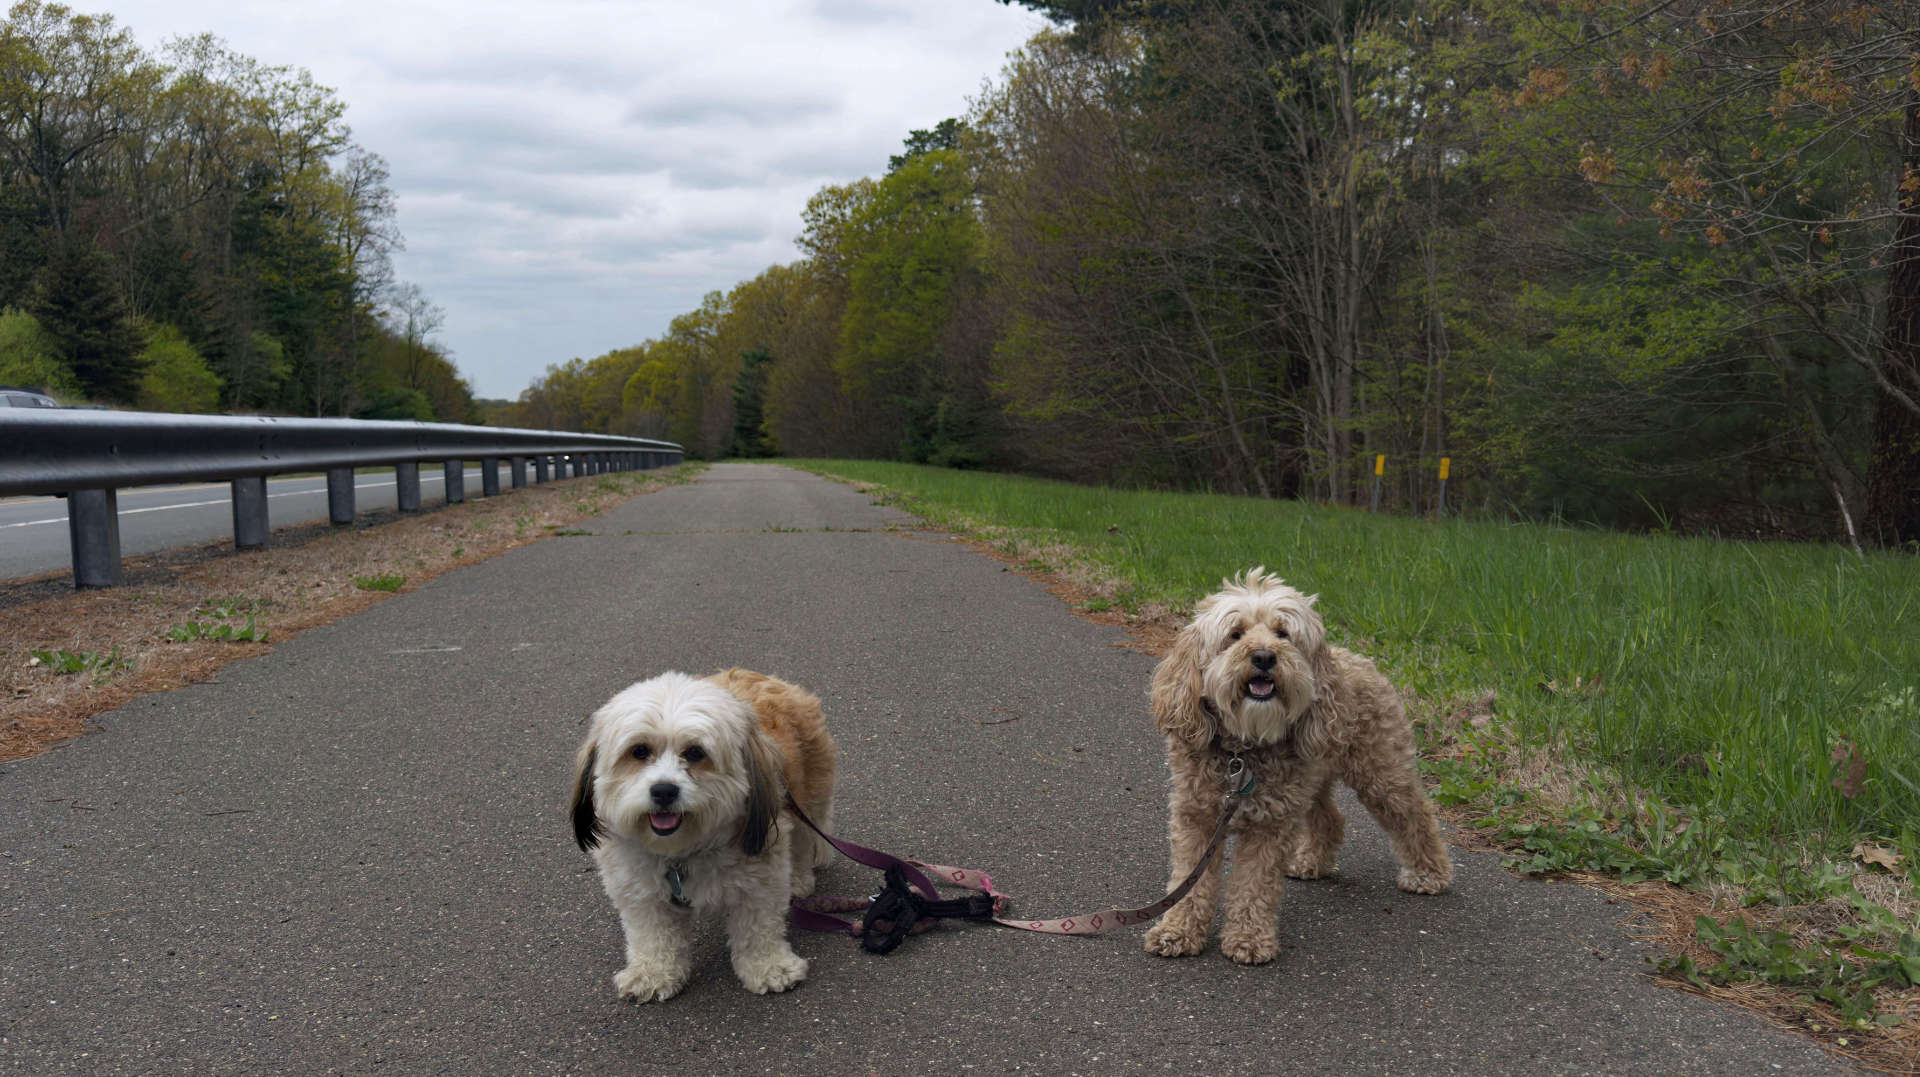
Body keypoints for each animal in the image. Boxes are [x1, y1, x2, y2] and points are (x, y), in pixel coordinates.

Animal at [568, 668, 840, 998]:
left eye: (695, 753)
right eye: (639, 751)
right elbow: (652, 934)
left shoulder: (761, 878)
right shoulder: (639, 893)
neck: (680, 853)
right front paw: (653, 972)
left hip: (807, 798)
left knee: (802, 842)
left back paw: (798, 880)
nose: (664, 790)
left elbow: (758, 929)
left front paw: (770, 967)